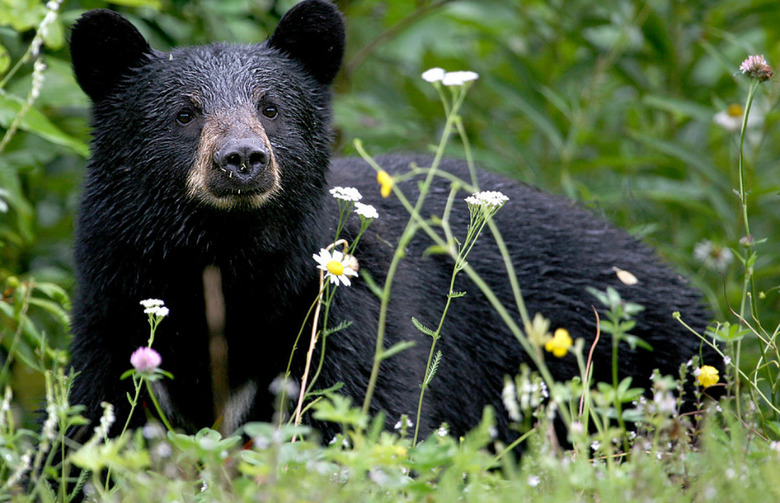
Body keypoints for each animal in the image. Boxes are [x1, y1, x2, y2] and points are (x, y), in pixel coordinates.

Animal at [66, 0, 715, 449]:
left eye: (271, 108)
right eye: (185, 113)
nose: (243, 159)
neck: (226, 262)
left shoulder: (343, 308)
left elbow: (366, 408)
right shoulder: (115, 305)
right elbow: (94, 423)